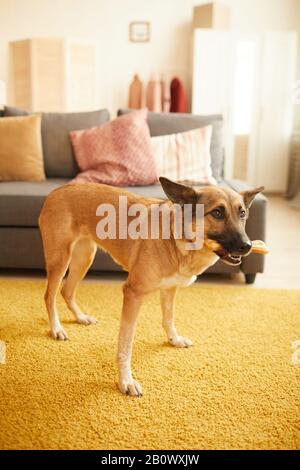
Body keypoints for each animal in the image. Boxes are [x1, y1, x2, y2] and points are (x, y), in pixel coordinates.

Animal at [38, 177, 264, 396]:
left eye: (242, 213)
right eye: (217, 213)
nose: (247, 246)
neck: (175, 238)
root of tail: (58, 190)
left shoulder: (169, 289)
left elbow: (168, 318)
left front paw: (174, 339)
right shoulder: (133, 294)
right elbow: (126, 344)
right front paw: (126, 381)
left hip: (84, 257)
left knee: (67, 291)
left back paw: (80, 317)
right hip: (61, 259)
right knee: (50, 295)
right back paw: (56, 328)